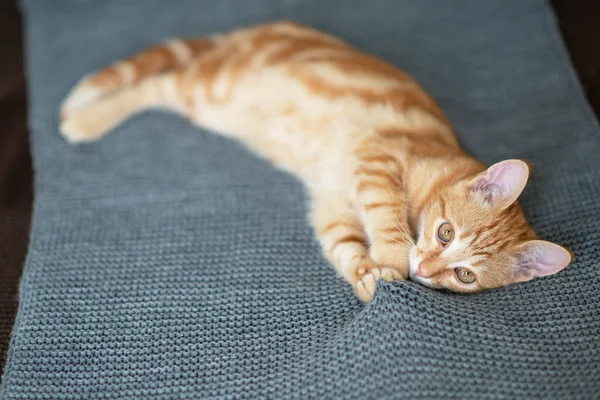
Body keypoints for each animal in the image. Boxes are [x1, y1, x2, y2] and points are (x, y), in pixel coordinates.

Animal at [59, 19, 572, 300]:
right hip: (210, 87)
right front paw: (391, 255)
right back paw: (84, 119)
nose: (425, 271)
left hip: (208, 100)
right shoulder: (376, 156)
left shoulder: (333, 204)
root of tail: (264, 29)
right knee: (153, 84)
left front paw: (367, 274)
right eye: (445, 233)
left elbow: (343, 243)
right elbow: (385, 215)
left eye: (465, 275)